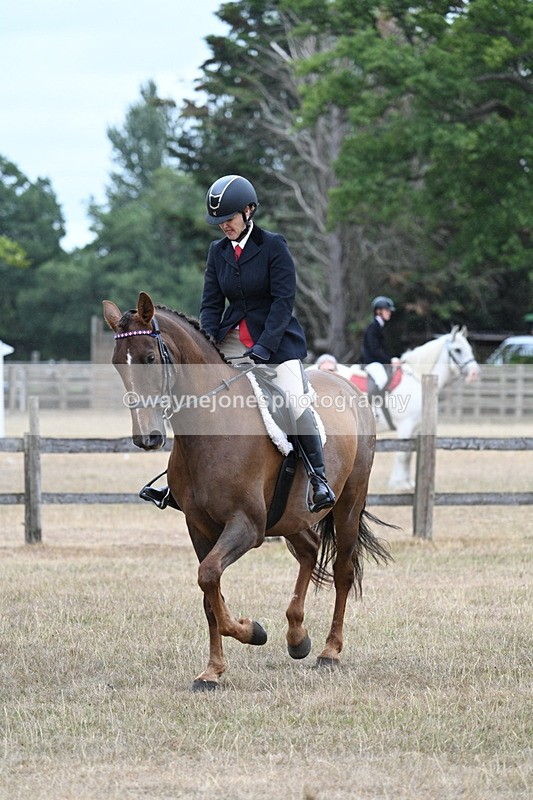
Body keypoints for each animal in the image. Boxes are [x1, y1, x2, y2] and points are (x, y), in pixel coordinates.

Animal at [103, 291, 391, 691]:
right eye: (118, 364)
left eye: (148, 358)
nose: (147, 438)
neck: (211, 426)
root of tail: (349, 387)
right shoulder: (199, 527)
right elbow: (209, 592)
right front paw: (212, 672)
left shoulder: (248, 526)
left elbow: (209, 576)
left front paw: (252, 631)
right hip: (288, 515)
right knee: (309, 549)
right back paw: (297, 637)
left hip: (348, 502)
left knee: (343, 570)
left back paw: (329, 652)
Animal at [343, 326, 480, 491]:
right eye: (458, 350)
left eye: (469, 348)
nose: (474, 372)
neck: (417, 378)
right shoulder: (406, 425)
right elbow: (402, 454)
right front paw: (398, 484)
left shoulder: (416, 427)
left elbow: (409, 454)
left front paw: (407, 482)